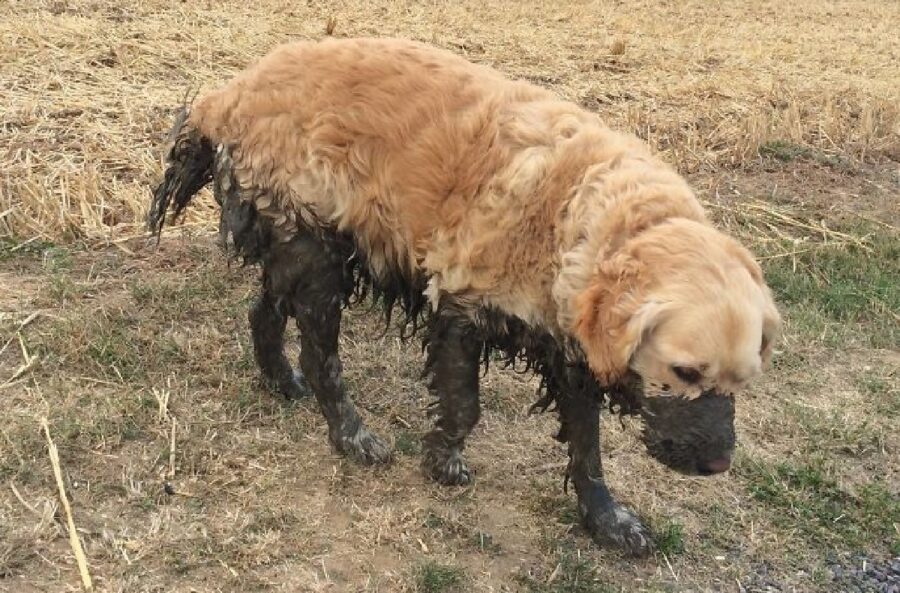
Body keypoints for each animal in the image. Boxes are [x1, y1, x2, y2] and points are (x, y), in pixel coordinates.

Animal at [148, 37, 780, 556]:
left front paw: (606, 519)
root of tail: (231, 92)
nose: (719, 463)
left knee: (263, 311)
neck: (583, 213)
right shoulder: (462, 306)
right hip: (319, 254)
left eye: (745, 380)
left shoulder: (568, 348)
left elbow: (588, 448)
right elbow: (465, 405)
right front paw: (442, 462)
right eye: (685, 372)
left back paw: (280, 380)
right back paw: (352, 436)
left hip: (298, 248)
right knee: (320, 355)